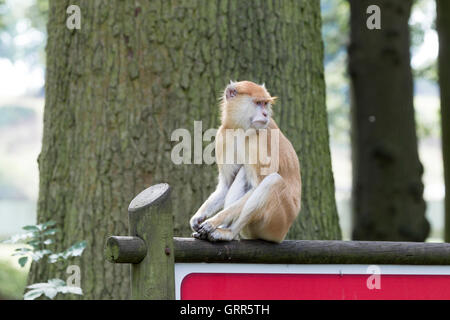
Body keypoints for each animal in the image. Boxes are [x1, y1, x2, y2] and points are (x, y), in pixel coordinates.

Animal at [188, 80, 300, 242]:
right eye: (258, 103)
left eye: (265, 104)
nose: (265, 114)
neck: (240, 129)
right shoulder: (223, 136)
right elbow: (226, 185)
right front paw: (197, 218)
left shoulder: (255, 139)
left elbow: (257, 186)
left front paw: (212, 222)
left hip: (278, 221)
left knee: (273, 181)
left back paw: (228, 233)